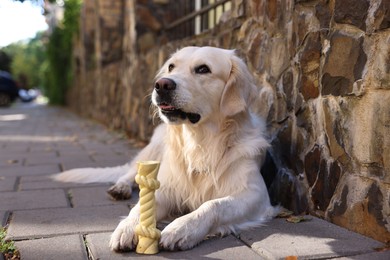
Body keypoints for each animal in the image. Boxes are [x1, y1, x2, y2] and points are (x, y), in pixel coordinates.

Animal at [53, 45, 278, 251]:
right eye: (171, 67)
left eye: (203, 69)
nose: (161, 85)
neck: (199, 141)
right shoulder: (168, 188)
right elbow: (139, 208)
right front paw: (127, 227)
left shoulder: (255, 194)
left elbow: (213, 205)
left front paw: (181, 229)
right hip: (153, 150)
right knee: (130, 173)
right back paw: (120, 187)